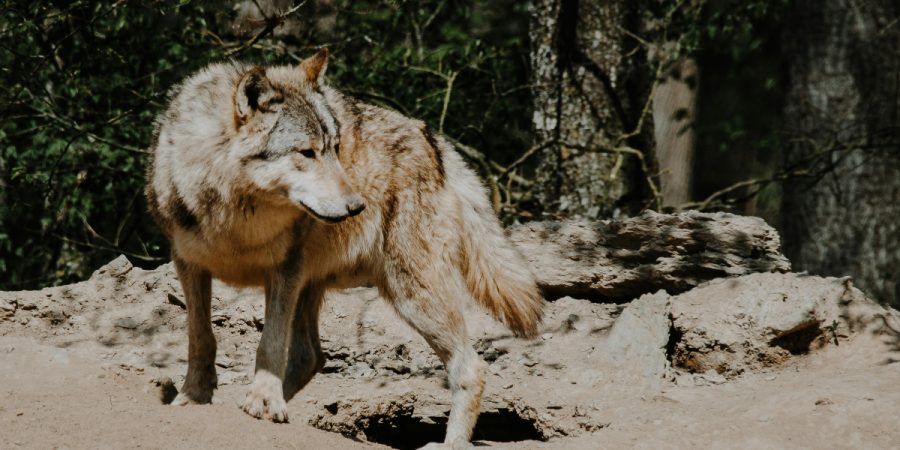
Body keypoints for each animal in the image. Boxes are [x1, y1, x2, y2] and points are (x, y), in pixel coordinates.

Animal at [145, 49, 544, 447]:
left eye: (335, 148)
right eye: (306, 153)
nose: (357, 206)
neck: (237, 221)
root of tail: (432, 138)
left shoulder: (284, 272)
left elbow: (269, 343)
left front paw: (262, 401)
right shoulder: (189, 264)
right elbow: (201, 338)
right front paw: (194, 397)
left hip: (411, 295)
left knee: (471, 367)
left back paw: (452, 442)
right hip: (321, 288)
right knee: (311, 356)